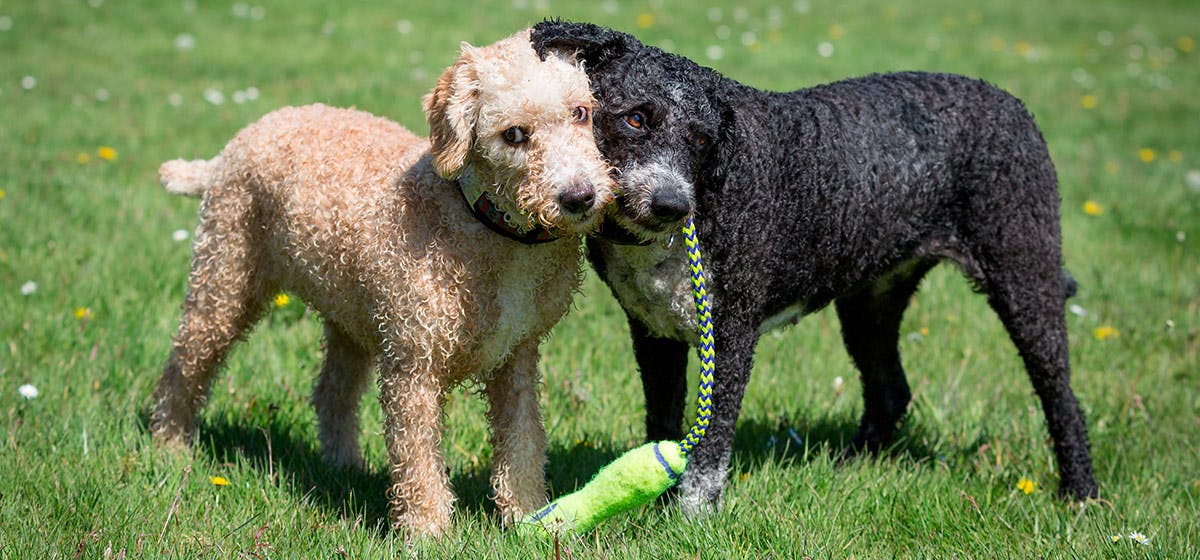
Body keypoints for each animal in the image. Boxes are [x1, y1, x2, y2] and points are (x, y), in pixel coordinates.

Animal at [535, 20, 1099, 513]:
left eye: (701, 139)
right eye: (635, 118)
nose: (672, 204)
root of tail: (1011, 102)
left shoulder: (732, 331)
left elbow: (711, 447)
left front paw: (691, 518)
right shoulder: (653, 332)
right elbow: (663, 426)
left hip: (1024, 274)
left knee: (1062, 397)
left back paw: (1080, 493)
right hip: (871, 300)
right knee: (890, 389)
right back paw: (853, 465)